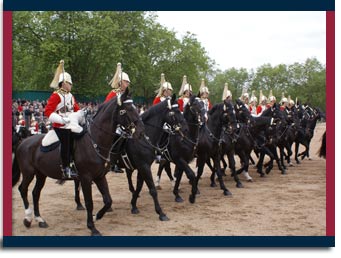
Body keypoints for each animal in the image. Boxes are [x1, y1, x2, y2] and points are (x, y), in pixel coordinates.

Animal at [12, 89, 143, 236]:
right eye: (126, 110)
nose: (141, 131)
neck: (94, 142)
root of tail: (23, 142)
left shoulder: (99, 176)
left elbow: (108, 200)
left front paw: (97, 216)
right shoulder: (86, 178)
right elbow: (89, 202)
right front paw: (92, 227)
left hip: (41, 174)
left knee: (35, 193)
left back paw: (39, 219)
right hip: (28, 173)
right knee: (23, 189)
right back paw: (28, 218)